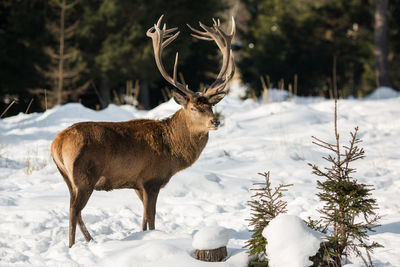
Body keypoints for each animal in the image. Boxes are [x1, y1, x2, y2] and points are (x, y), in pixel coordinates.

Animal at [51, 15, 236, 249]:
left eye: (211, 106)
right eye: (194, 108)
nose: (215, 121)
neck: (173, 150)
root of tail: (56, 144)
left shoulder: (137, 184)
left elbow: (143, 220)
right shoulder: (151, 179)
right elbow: (152, 218)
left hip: (67, 178)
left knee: (75, 210)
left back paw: (89, 240)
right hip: (84, 175)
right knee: (74, 210)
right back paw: (72, 246)